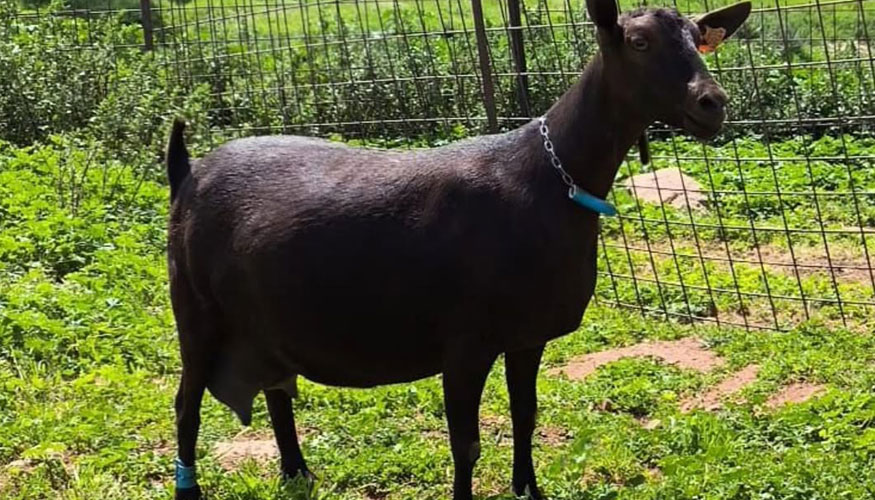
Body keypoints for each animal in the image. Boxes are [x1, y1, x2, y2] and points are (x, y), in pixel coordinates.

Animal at [165, 1, 751, 498]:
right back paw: (190, 486)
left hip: (264, 321)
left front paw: (529, 489)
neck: (548, 178)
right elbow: (465, 444)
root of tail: (187, 173)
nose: (712, 104)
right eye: (638, 41)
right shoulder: (466, 342)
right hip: (195, 311)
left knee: (275, 388)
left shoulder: (527, 335)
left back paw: (296, 471)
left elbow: (525, 416)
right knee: (186, 403)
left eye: (699, 36)